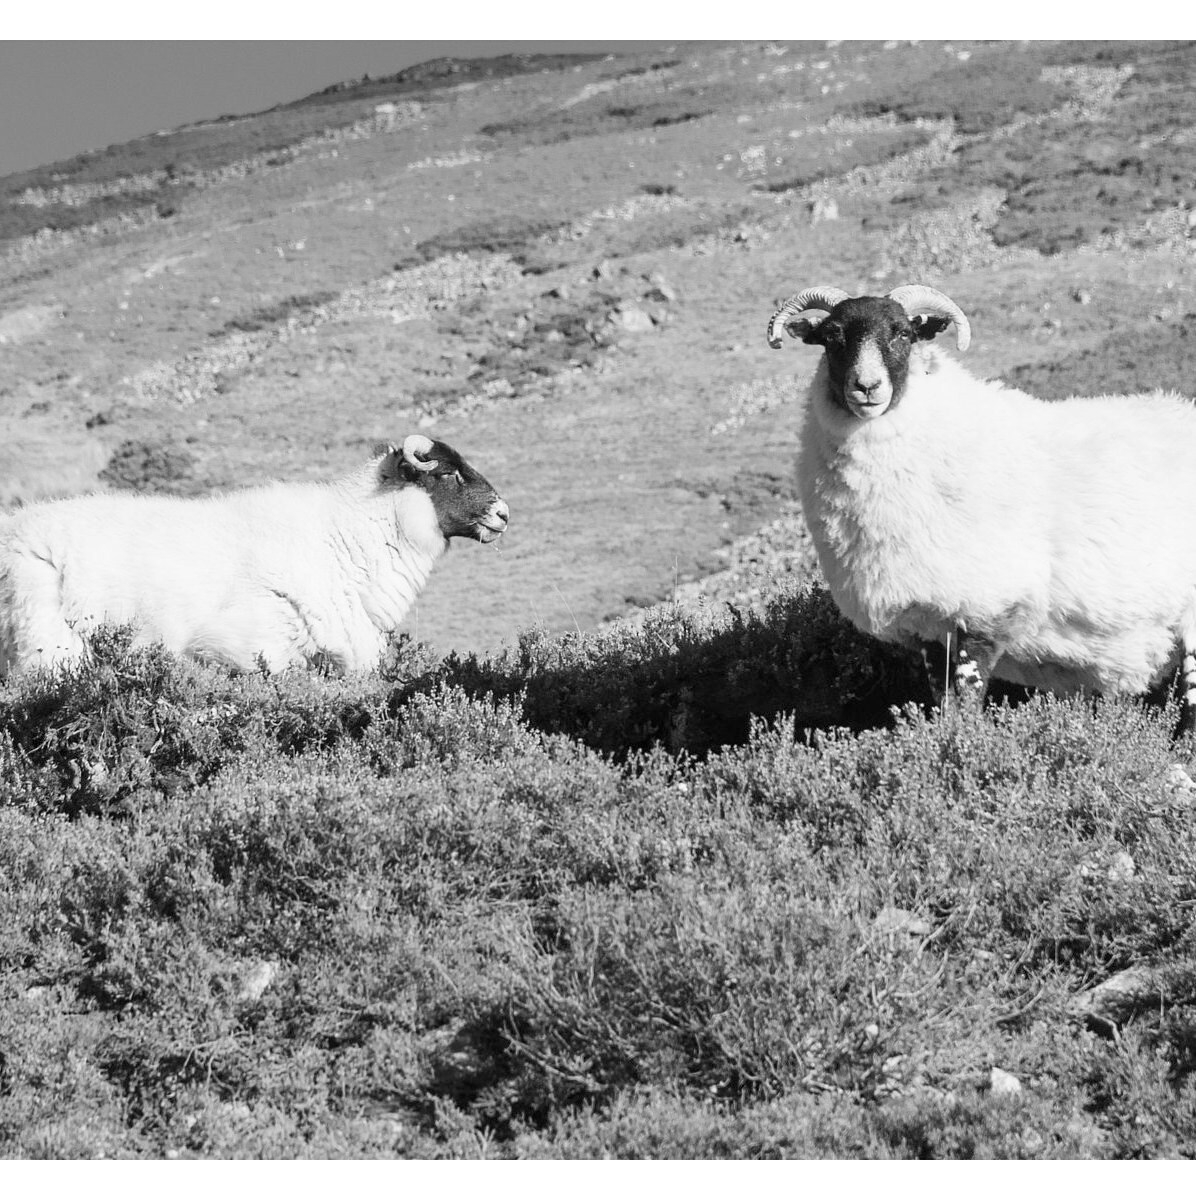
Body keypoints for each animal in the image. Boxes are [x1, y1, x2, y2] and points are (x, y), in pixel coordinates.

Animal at [766, 282, 1196, 732]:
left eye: (904, 333)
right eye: (832, 337)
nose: (867, 387)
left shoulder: (985, 611)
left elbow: (968, 699)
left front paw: (966, 740)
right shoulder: (929, 627)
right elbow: (943, 702)